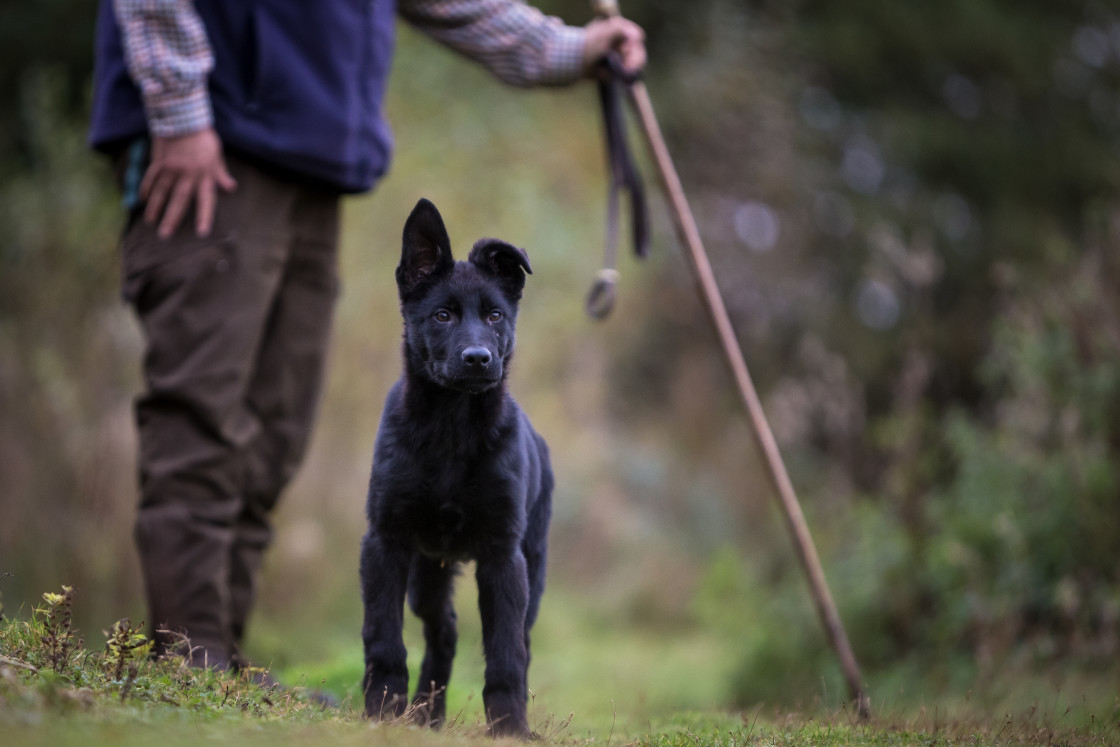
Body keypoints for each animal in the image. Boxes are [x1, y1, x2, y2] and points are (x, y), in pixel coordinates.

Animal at [360, 195, 553, 739]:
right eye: (442, 315)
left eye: (495, 315)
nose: (478, 358)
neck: (451, 428)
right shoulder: (386, 542)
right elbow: (384, 641)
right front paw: (381, 712)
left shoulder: (503, 557)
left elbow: (506, 654)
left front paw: (510, 729)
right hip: (426, 572)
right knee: (443, 630)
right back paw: (425, 714)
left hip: (533, 570)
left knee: (521, 643)